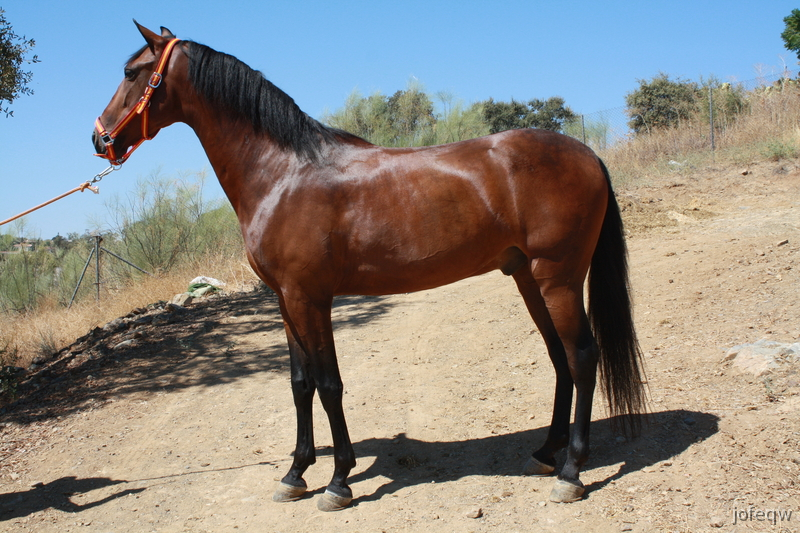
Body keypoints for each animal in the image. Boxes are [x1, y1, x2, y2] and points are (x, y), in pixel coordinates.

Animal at [93, 22, 646, 512]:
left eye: (131, 72)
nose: (100, 140)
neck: (282, 173)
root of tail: (587, 154)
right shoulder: (286, 300)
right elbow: (300, 384)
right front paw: (295, 474)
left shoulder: (310, 298)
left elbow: (329, 384)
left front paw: (338, 481)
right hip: (529, 278)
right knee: (559, 357)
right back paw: (546, 453)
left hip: (558, 278)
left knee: (582, 357)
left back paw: (571, 473)